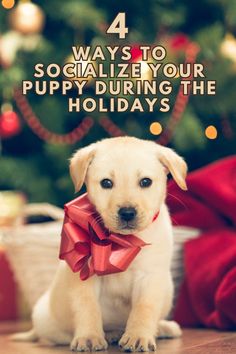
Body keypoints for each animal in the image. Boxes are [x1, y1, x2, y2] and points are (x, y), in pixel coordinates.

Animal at [12, 136, 187, 352]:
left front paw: (138, 336)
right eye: (106, 183)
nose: (127, 213)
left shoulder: (150, 277)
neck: (121, 240)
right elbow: (87, 307)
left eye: (146, 182)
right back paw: (110, 334)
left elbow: (144, 309)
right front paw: (89, 337)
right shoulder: (84, 276)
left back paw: (163, 328)